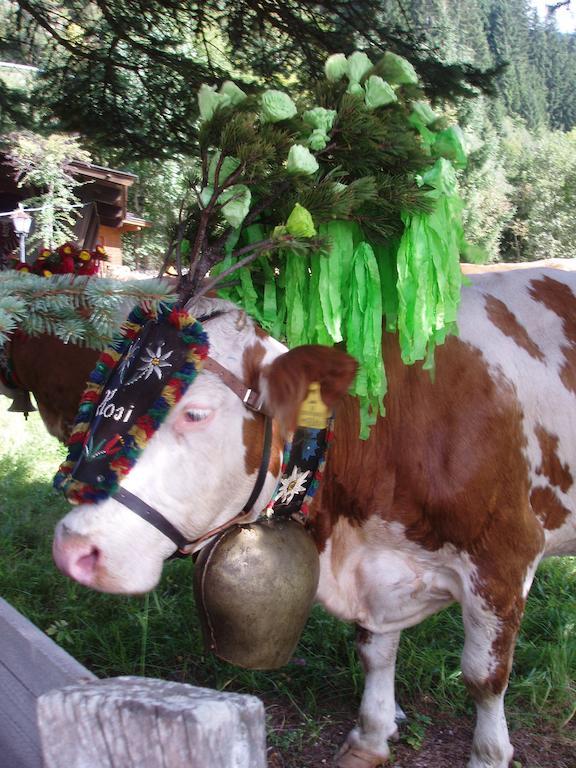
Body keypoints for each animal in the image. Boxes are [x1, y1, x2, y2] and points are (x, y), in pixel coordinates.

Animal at [48, 268, 576, 764]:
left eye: (195, 414)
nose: (72, 546)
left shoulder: (504, 558)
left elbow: (484, 677)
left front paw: (488, 755)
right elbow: (375, 651)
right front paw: (371, 736)